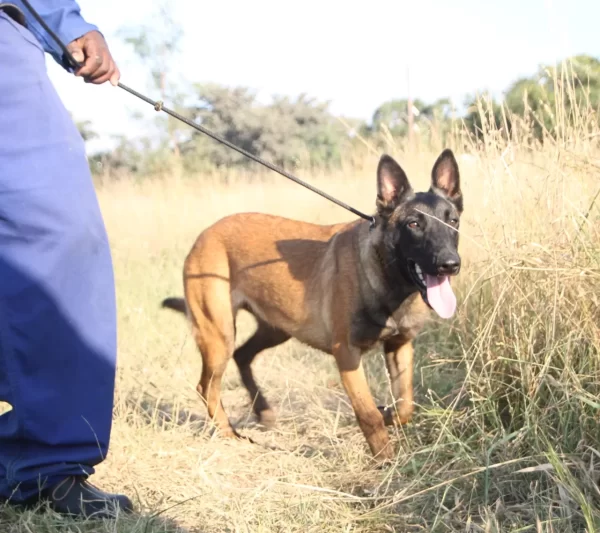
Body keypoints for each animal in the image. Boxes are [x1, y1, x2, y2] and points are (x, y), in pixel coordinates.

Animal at [161, 149, 464, 458]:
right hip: (219, 334)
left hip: (275, 328)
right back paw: (229, 435)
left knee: (242, 355)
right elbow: (368, 414)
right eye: (413, 224)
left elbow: (405, 405)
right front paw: (385, 461)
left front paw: (389, 414)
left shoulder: (399, 345)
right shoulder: (347, 354)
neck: (385, 276)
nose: (450, 264)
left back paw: (263, 411)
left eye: (453, 221)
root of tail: (205, 234)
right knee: (207, 386)